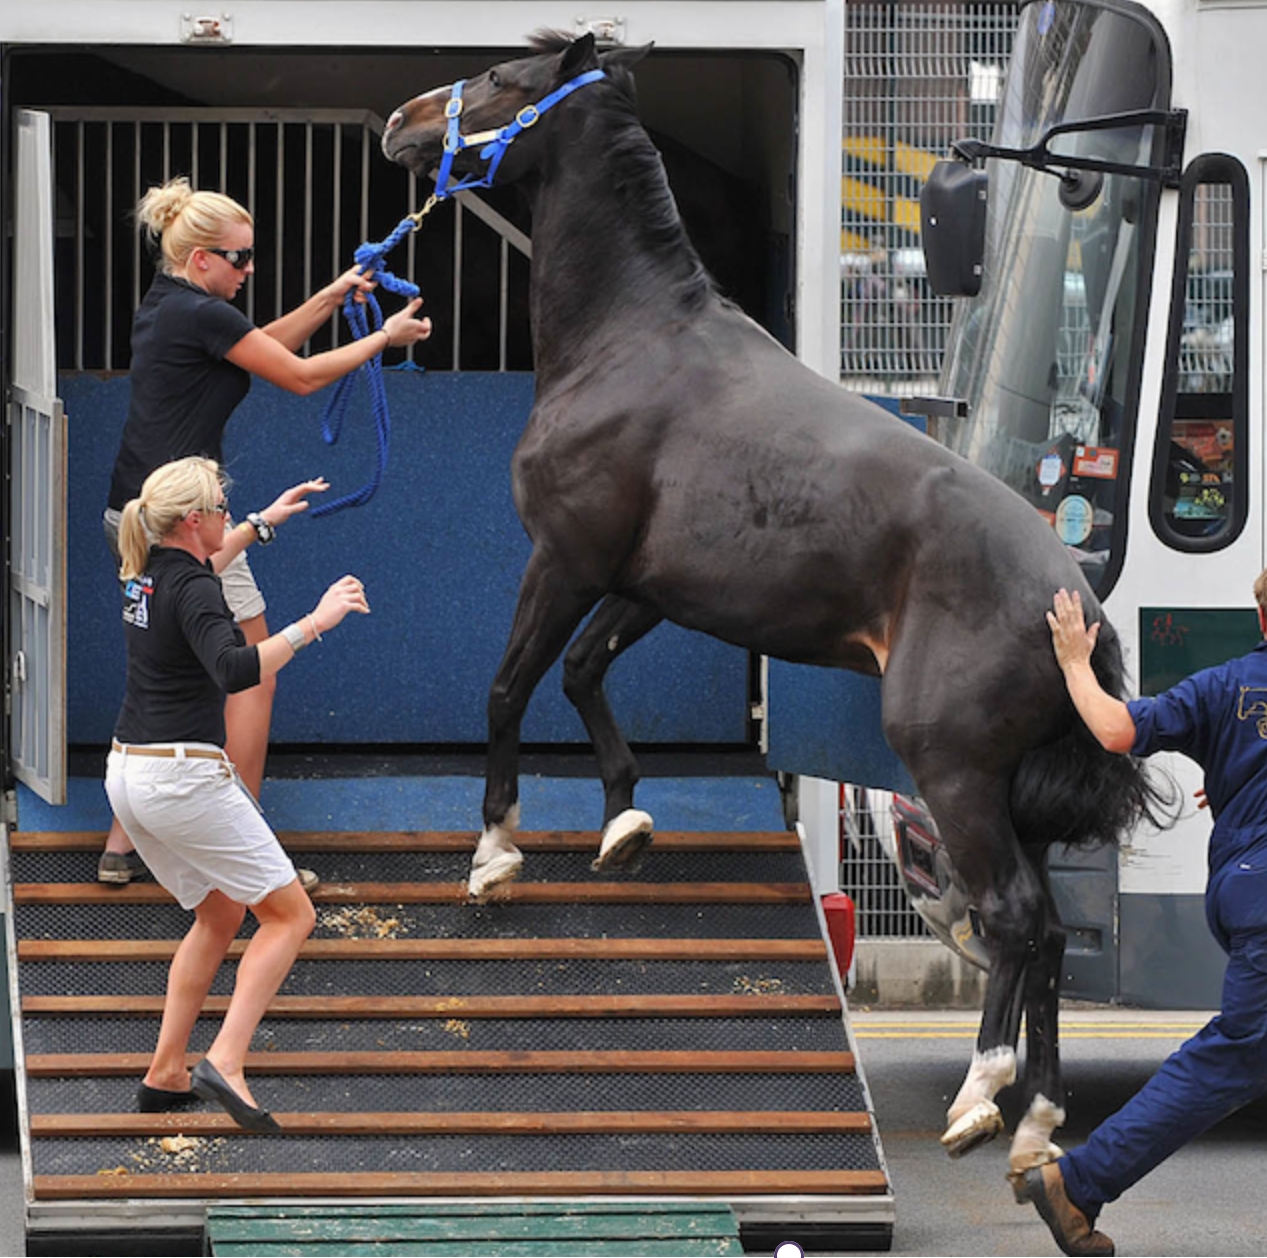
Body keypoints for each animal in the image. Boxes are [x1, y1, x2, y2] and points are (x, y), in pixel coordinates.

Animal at [382, 30, 1164, 1178]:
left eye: (499, 81)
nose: (400, 121)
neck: (632, 341)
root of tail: (1072, 601)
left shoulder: (564, 561)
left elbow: (508, 684)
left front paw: (495, 853)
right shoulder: (646, 588)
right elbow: (580, 673)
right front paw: (624, 821)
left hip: (954, 772)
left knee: (1016, 919)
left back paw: (981, 1095)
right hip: (1002, 791)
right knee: (1054, 934)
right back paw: (1037, 1117)